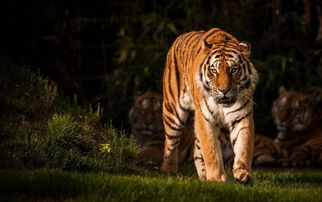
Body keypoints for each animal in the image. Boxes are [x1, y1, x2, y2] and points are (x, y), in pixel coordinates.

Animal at [161, 26, 260, 183]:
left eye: (234, 70)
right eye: (214, 70)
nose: (224, 90)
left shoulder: (242, 118)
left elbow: (244, 147)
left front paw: (243, 174)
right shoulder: (205, 119)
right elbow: (211, 150)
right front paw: (217, 179)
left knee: (196, 151)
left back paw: (203, 177)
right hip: (173, 112)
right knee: (170, 143)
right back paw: (169, 171)